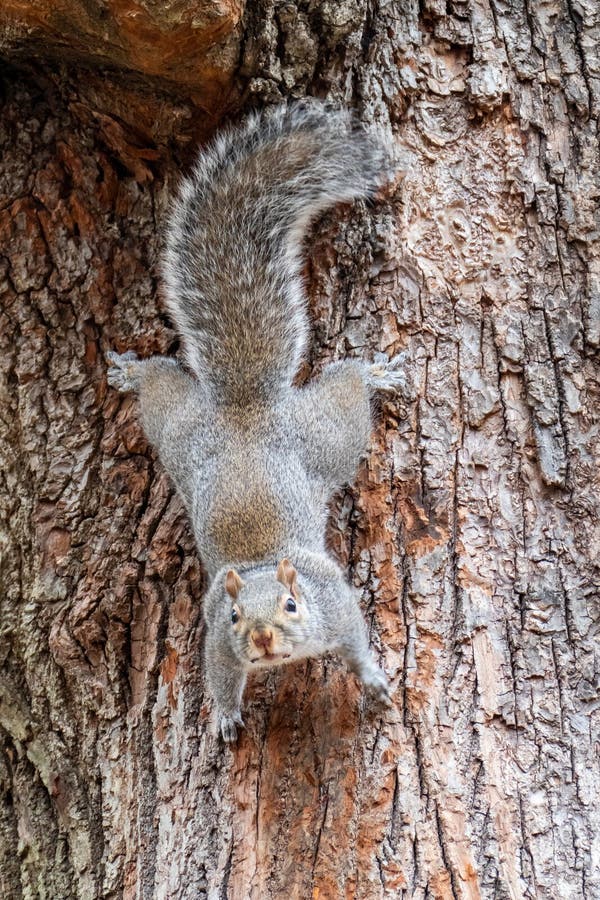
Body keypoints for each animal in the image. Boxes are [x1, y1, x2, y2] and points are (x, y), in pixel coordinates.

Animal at [106, 101, 405, 742]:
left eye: (292, 606)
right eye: (239, 615)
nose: (264, 637)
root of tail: (245, 407)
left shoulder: (333, 602)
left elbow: (357, 639)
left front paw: (371, 679)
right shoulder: (217, 637)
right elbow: (219, 675)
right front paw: (224, 716)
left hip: (328, 435)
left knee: (349, 387)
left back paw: (376, 374)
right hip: (176, 424)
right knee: (160, 381)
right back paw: (131, 372)